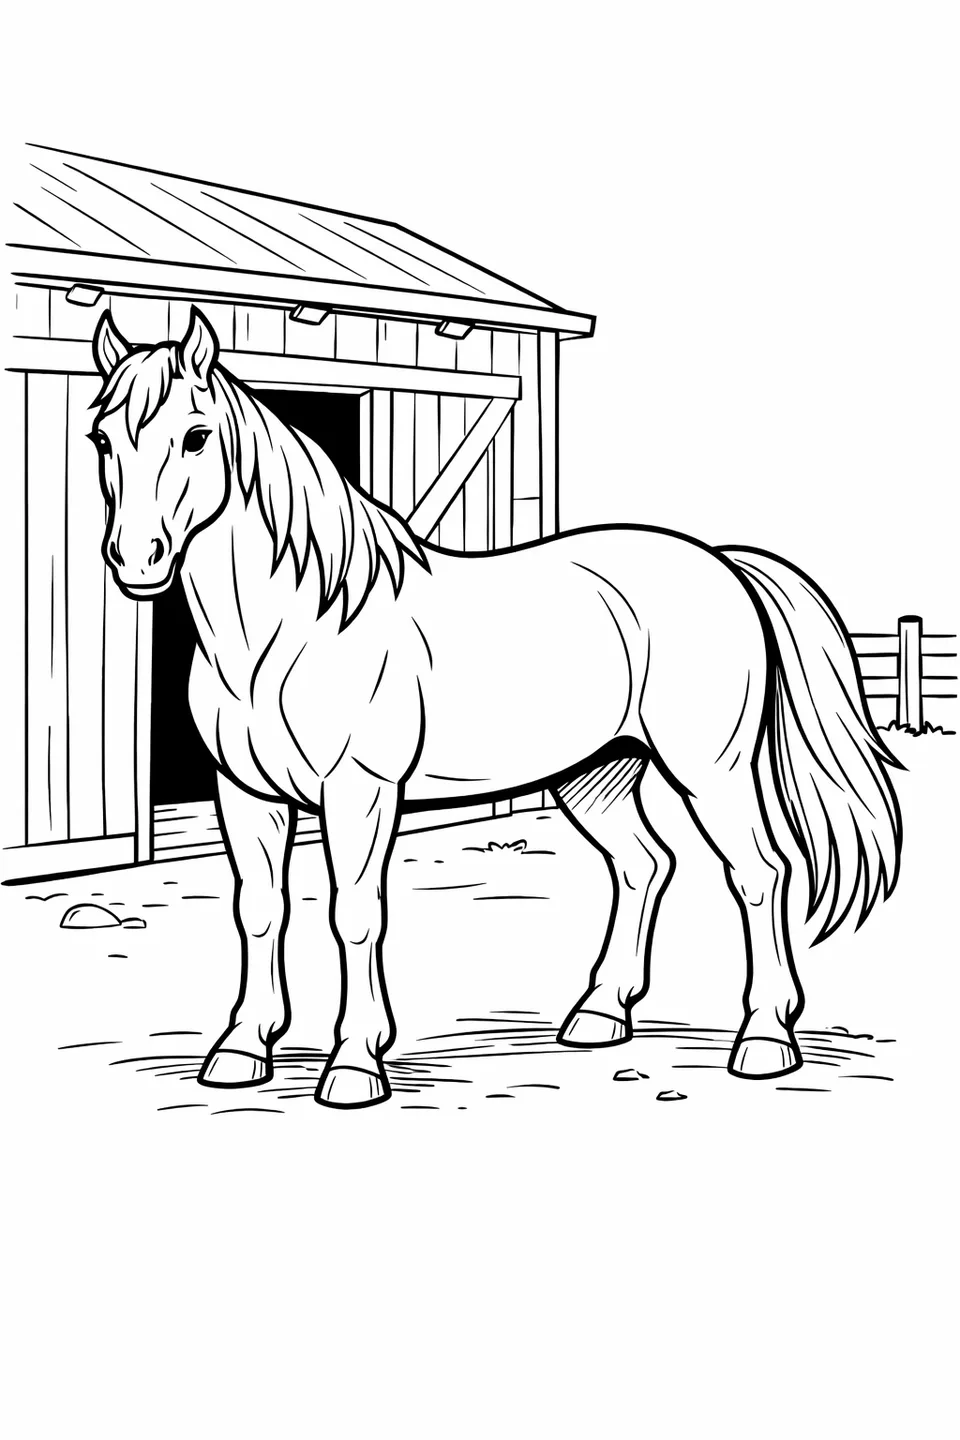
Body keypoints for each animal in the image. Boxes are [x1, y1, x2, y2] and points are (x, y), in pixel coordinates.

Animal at [88, 306, 902, 1108]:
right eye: (101, 435)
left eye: (196, 436)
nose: (135, 560)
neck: (295, 628)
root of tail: (723, 563)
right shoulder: (244, 793)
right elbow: (259, 909)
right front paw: (240, 1049)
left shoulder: (360, 792)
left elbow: (355, 912)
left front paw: (354, 1065)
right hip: (596, 774)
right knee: (643, 865)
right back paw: (599, 1015)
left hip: (712, 771)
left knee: (759, 874)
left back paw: (763, 1041)